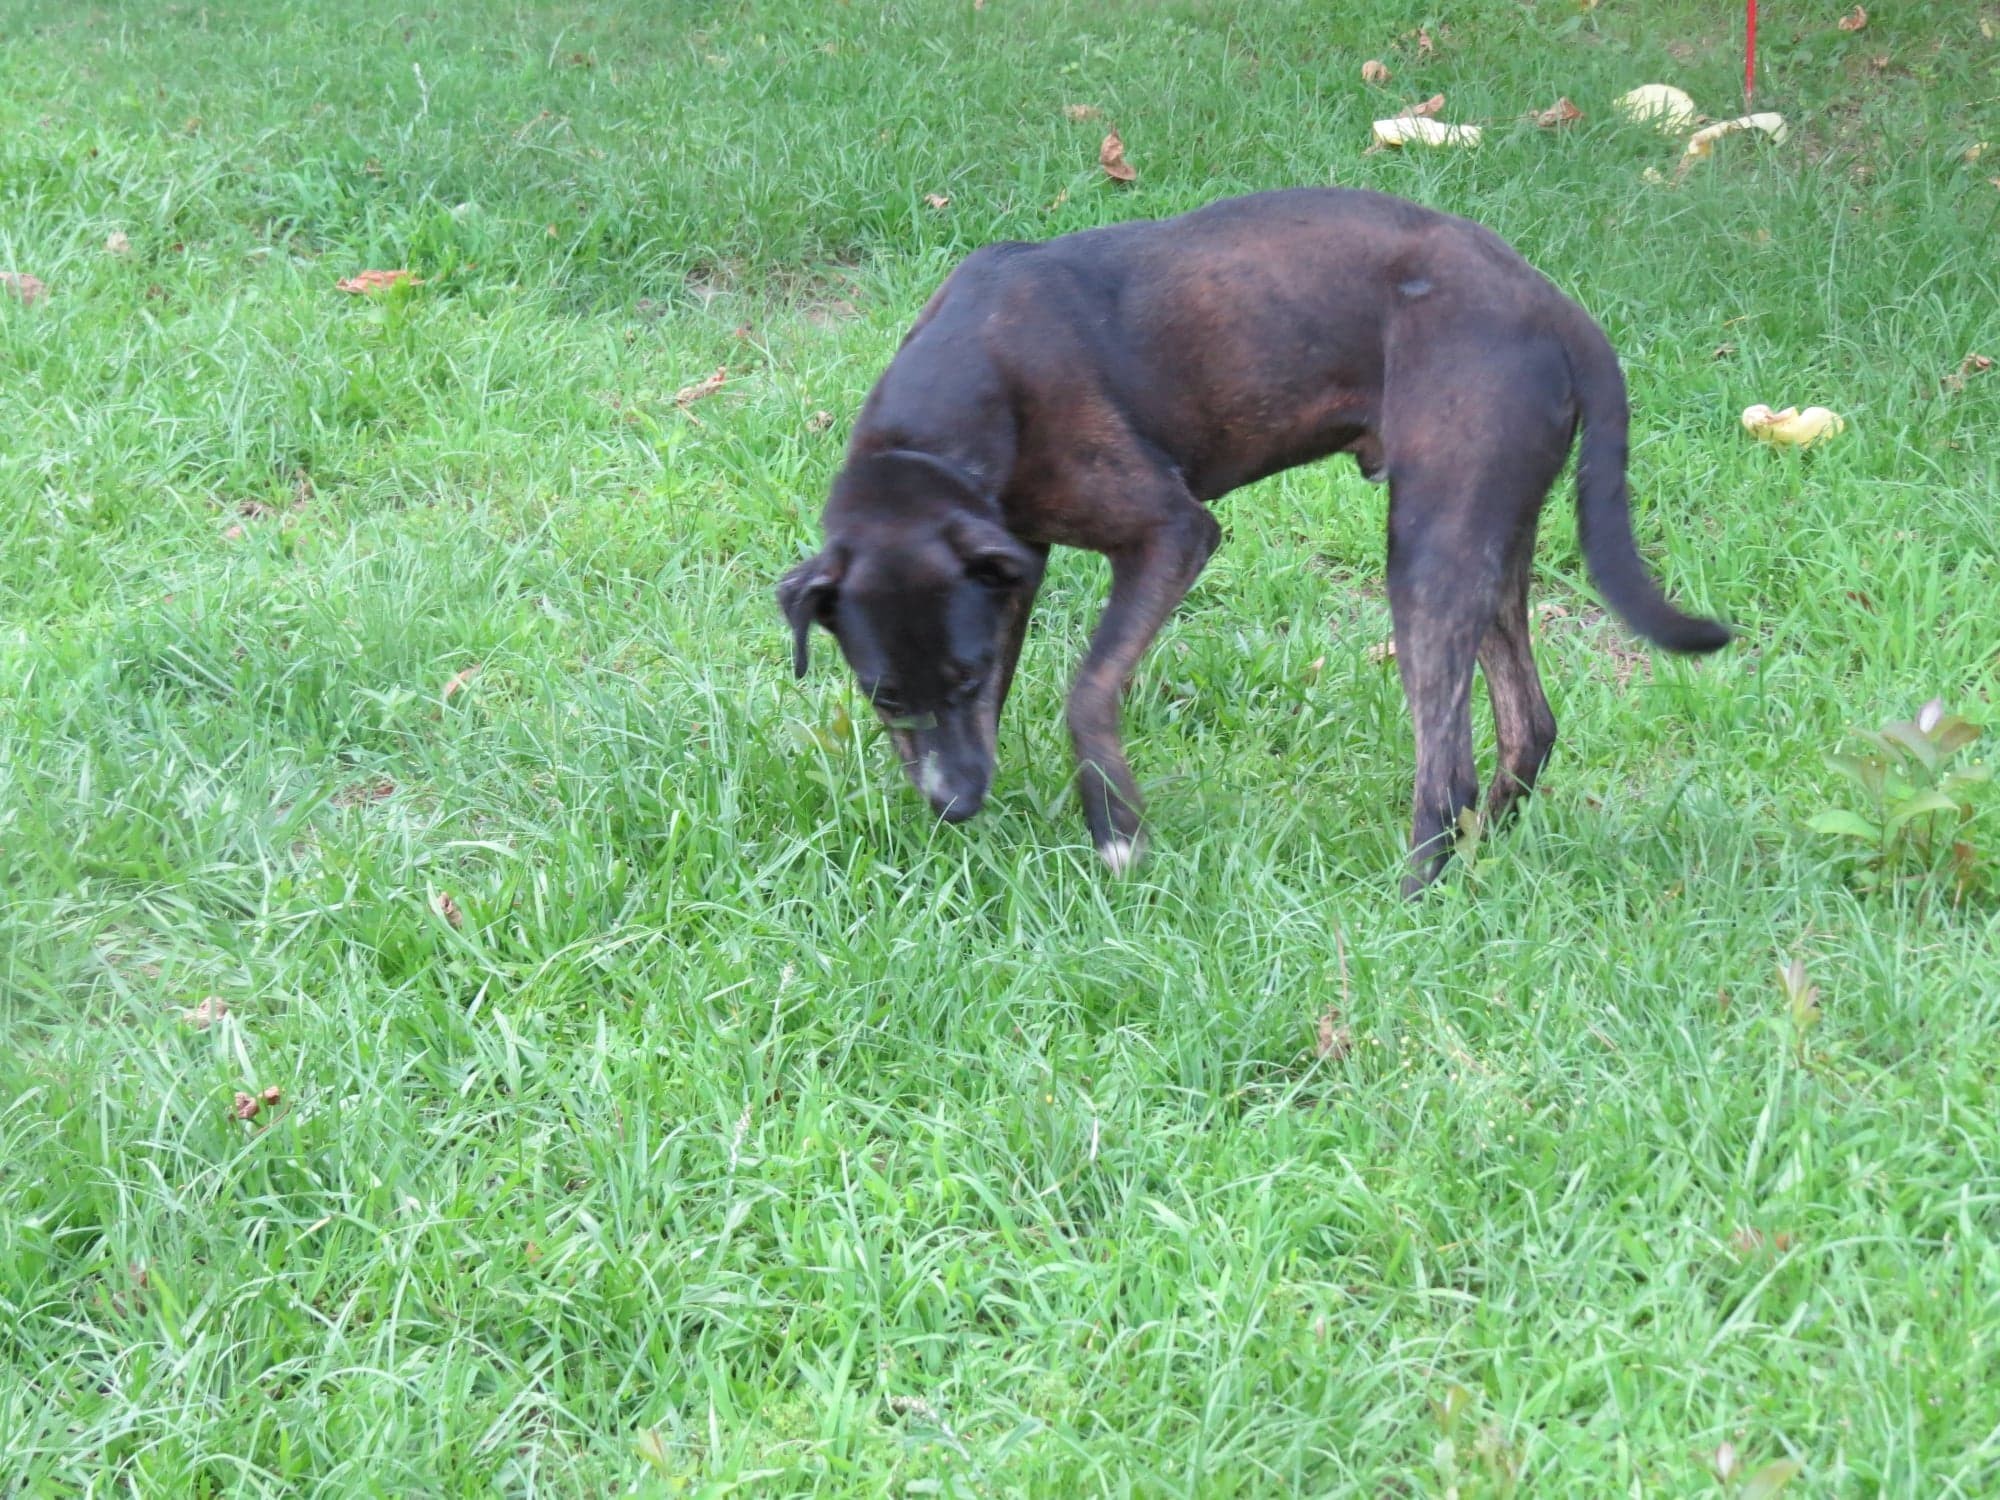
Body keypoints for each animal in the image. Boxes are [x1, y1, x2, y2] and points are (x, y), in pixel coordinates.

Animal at [772, 187, 1728, 892]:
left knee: (1446, 766)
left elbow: (1086, 690)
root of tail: (1558, 309)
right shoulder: (1013, 569)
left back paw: (1409, 905)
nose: (958, 806)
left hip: (1432, 542)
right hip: (1493, 536)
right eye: (884, 696)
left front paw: (1115, 829)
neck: (938, 434)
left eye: (958, 676)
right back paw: (1477, 860)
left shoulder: (1171, 533)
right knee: (1528, 728)